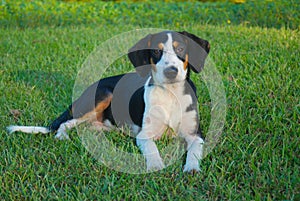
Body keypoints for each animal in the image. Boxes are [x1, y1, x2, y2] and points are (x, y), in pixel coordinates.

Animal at [7, 31, 209, 173]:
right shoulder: (144, 135)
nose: (171, 71)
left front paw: (191, 168)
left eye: (180, 49)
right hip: (103, 95)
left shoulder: (195, 134)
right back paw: (62, 135)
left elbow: (194, 151)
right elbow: (152, 149)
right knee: (67, 123)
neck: (171, 94)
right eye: (156, 51)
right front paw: (156, 165)